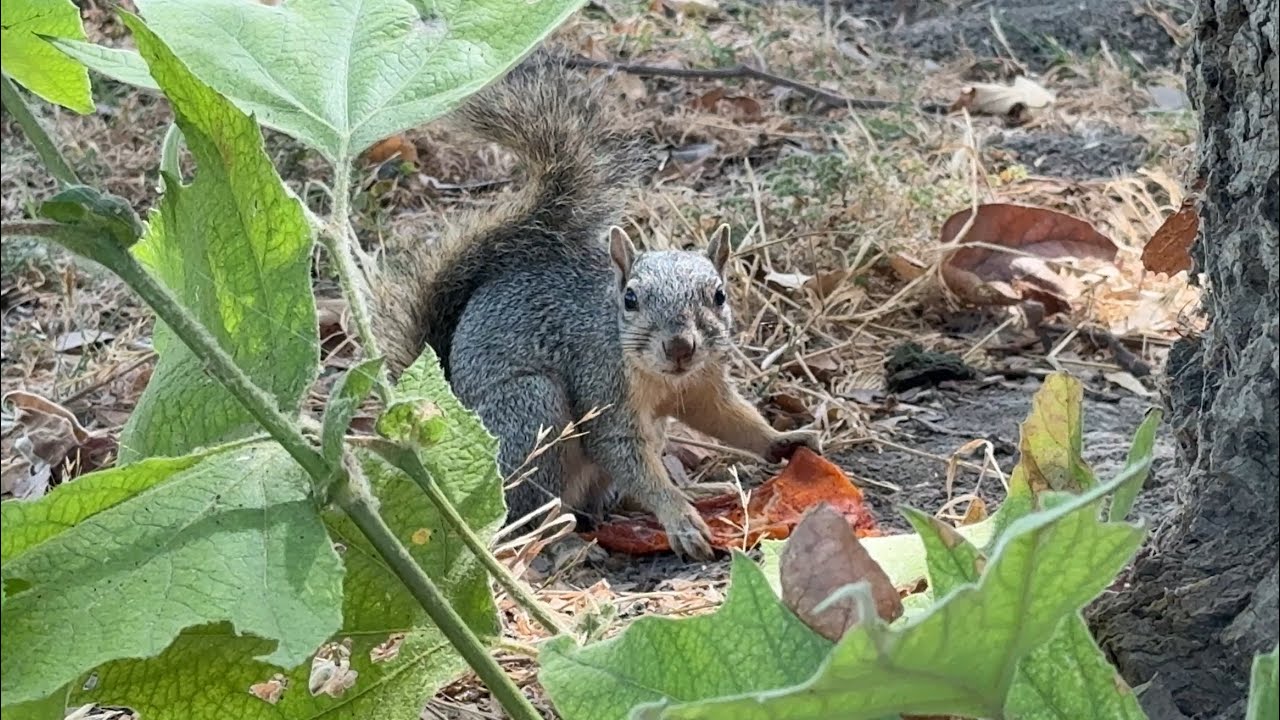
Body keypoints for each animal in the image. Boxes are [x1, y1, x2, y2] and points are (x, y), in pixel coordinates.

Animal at [373, 52, 821, 560]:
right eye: (631, 299)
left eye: (720, 295)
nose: (680, 347)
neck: (661, 377)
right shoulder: (601, 380)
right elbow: (621, 449)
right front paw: (680, 518)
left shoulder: (702, 384)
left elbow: (727, 417)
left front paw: (783, 440)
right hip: (529, 414)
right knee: (525, 513)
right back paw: (565, 543)